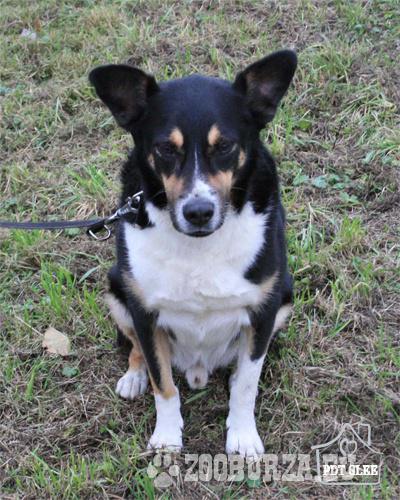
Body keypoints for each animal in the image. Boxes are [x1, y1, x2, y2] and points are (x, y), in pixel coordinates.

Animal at [89, 49, 297, 457]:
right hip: (115, 288)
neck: (200, 244)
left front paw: (242, 435)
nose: (198, 212)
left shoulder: (264, 309)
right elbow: (163, 383)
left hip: (286, 296)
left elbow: (246, 384)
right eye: (166, 148)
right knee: (136, 349)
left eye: (225, 145)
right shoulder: (144, 312)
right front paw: (167, 438)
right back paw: (134, 376)